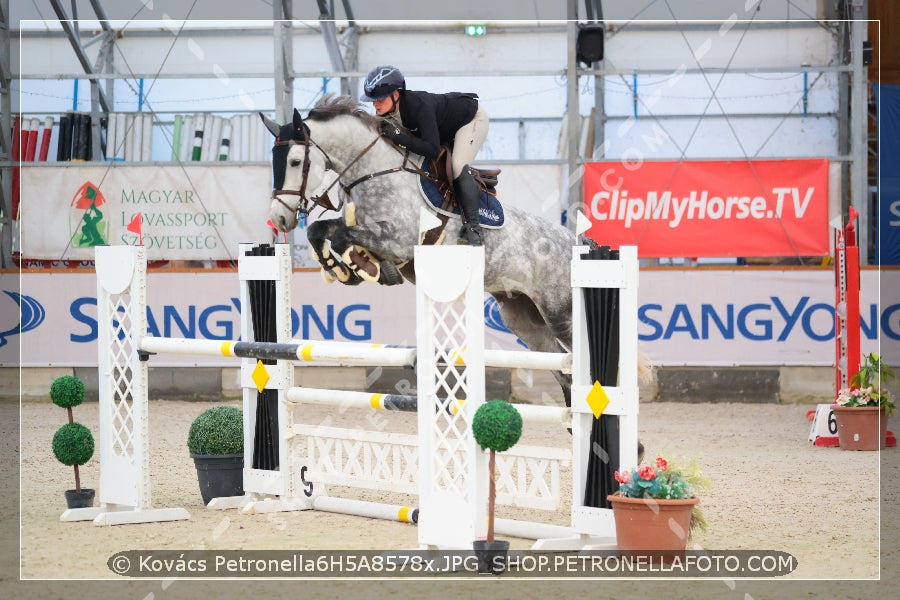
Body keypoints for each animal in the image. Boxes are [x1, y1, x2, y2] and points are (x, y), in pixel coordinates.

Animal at [260, 96, 580, 406]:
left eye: (295, 161)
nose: (279, 218)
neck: (374, 171)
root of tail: (575, 242)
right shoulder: (365, 227)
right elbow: (320, 231)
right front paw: (340, 269)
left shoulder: (399, 239)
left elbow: (342, 238)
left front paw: (368, 268)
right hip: (524, 321)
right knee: (565, 374)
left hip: (560, 314)